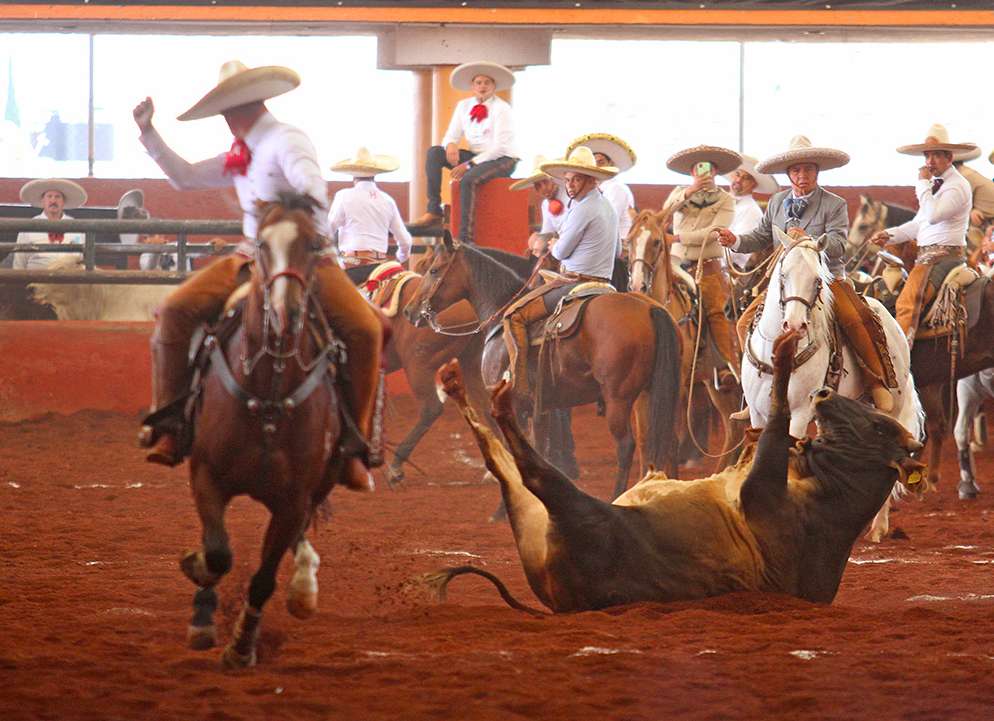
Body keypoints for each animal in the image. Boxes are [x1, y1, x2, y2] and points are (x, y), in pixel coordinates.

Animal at [179, 194, 348, 668]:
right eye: (261, 244)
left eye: (313, 245)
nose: (285, 311)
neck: (269, 393)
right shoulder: (205, 474)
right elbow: (218, 552)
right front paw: (202, 608)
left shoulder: (292, 501)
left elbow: (263, 577)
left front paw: (241, 646)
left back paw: (304, 587)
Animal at [404, 233, 680, 498]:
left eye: (434, 270)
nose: (409, 311)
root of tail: (648, 308)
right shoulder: (541, 408)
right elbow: (539, 449)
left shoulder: (510, 406)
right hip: (649, 393)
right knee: (661, 440)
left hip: (618, 399)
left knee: (626, 446)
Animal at [628, 210, 744, 472]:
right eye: (628, 241)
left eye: (657, 242)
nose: (638, 284)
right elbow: (645, 439)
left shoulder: (678, 386)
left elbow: (670, 440)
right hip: (717, 386)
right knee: (734, 427)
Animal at [740, 225, 920, 540]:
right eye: (783, 275)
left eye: (817, 281)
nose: (795, 325)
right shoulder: (757, 414)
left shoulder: (799, 413)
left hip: (893, 407)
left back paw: (877, 528)